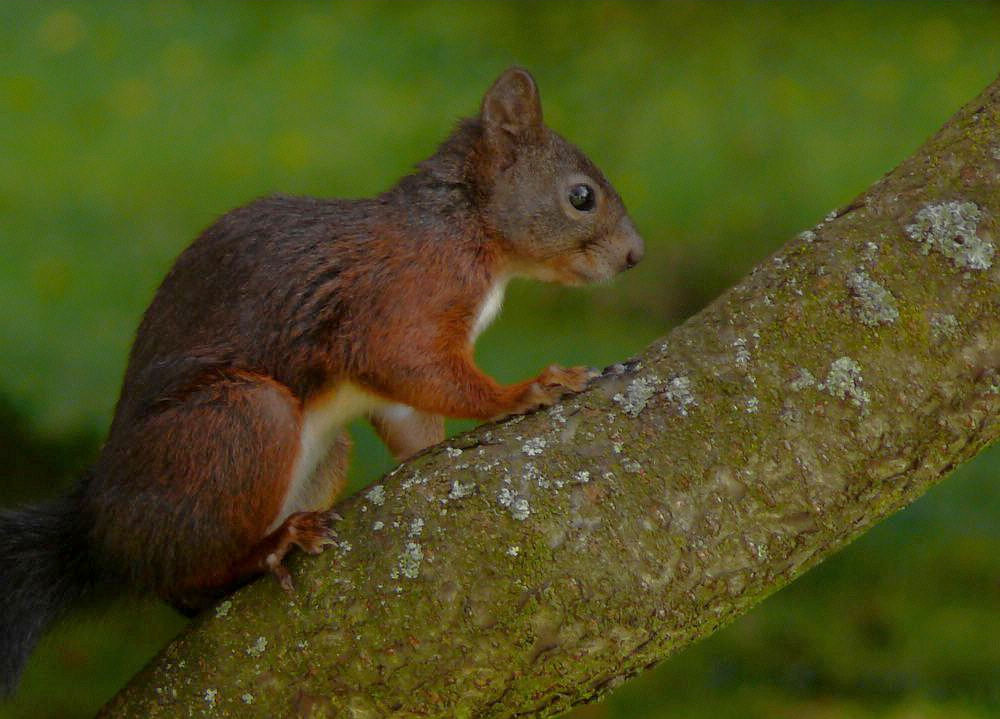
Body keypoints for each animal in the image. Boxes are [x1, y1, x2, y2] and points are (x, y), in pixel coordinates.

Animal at [0, 70, 640, 696]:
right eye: (582, 197)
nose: (635, 256)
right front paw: (527, 390)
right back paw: (272, 546)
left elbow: (411, 419)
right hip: (241, 420)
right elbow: (414, 366)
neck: (466, 228)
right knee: (186, 571)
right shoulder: (399, 301)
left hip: (321, 452)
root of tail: (99, 531)